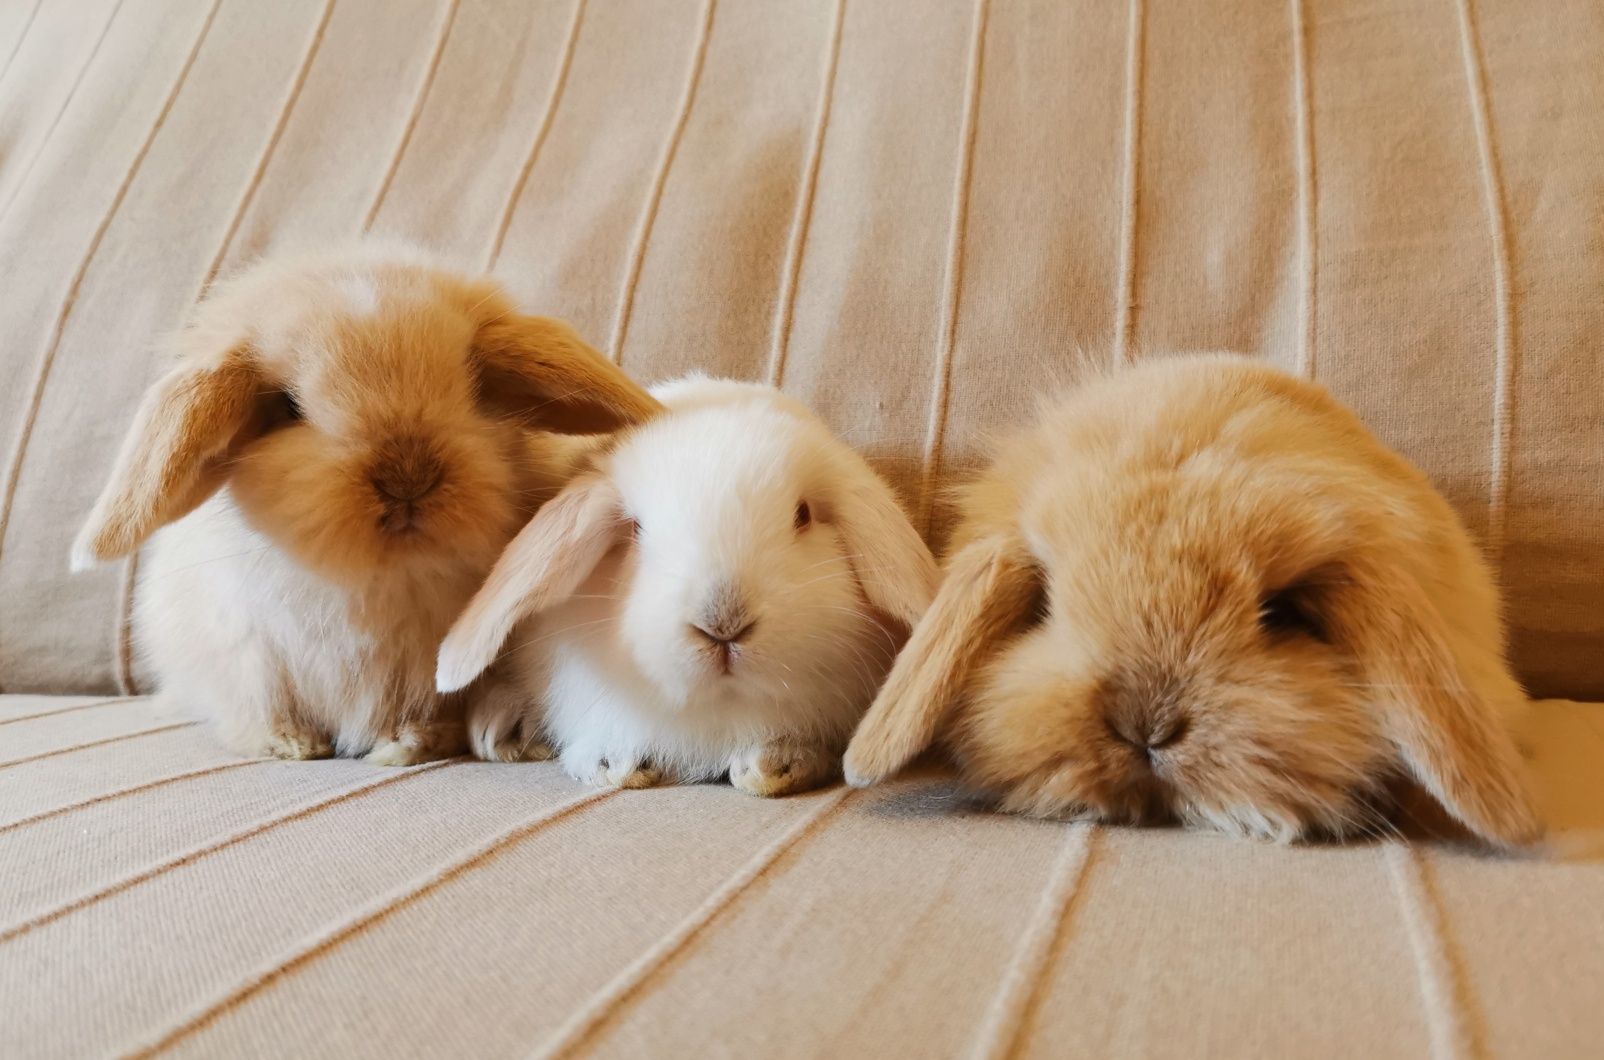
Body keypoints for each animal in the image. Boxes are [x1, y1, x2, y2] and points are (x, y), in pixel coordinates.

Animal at [72, 245, 660, 763]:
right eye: (286, 406)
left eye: (473, 386)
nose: (408, 478)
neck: (383, 576)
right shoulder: (251, 661)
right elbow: (266, 714)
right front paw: (290, 745)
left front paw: (411, 743)